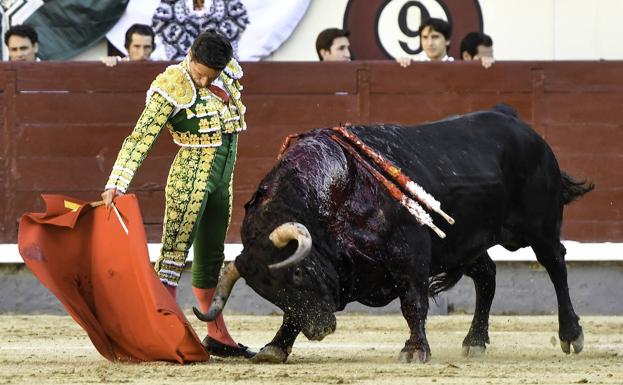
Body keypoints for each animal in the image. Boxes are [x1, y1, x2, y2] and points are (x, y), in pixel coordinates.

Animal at [195, 106, 596, 362]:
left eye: (295, 273)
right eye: (267, 292)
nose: (321, 330)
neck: (338, 194)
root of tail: (515, 121)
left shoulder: (410, 254)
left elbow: (412, 303)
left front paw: (415, 350)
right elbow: (293, 316)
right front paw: (275, 347)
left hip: (540, 228)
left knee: (556, 267)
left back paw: (571, 335)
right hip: (464, 242)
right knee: (487, 276)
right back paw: (475, 341)